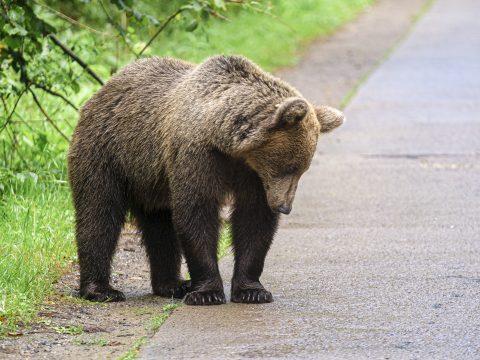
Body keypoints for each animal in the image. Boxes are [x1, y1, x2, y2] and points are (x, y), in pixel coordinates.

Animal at [68, 54, 344, 306]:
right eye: (290, 167)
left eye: (302, 170)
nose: (284, 206)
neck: (225, 141)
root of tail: (101, 91)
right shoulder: (197, 156)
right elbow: (196, 212)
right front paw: (207, 292)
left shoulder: (251, 175)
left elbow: (254, 219)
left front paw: (252, 290)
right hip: (108, 153)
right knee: (99, 213)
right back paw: (101, 290)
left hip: (151, 180)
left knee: (159, 225)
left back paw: (172, 284)